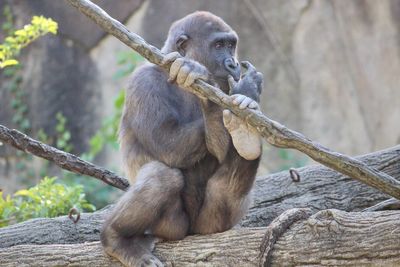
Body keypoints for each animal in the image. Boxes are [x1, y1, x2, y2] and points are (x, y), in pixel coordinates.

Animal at [101, 11, 262, 267]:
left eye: (231, 45)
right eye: (218, 45)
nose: (233, 63)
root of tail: (192, 232)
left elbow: (222, 147)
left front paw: (247, 93)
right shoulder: (144, 82)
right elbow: (168, 145)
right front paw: (201, 73)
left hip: (211, 226)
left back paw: (247, 139)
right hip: (172, 229)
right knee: (162, 177)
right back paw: (117, 238)